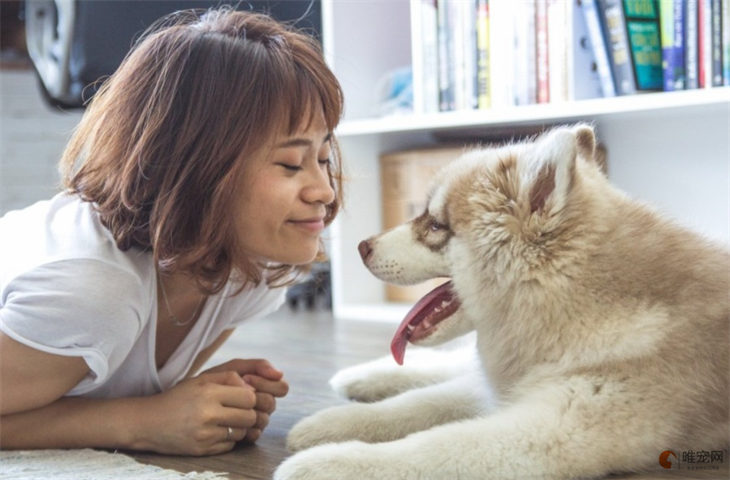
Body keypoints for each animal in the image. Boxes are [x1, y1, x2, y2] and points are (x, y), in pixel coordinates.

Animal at [274, 124, 728, 480]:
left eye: (435, 225)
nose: (361, 247)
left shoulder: (552, 427)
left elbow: (435, 446)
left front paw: (326, 464)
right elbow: (414, 405)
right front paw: (331, 423)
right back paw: (361, 377)